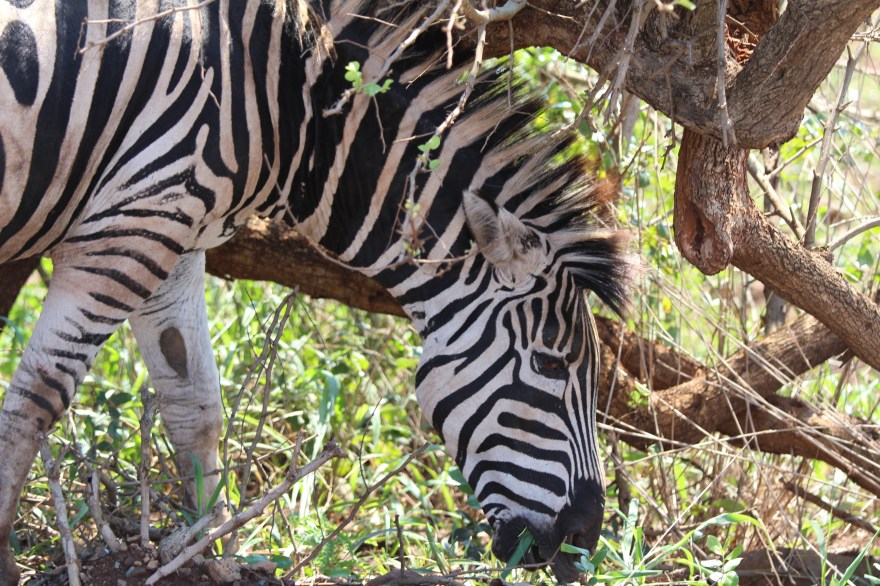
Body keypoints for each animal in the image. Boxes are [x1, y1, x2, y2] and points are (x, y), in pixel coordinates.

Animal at [0, 0, 631, 582]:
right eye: (550, 365)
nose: (584, 538)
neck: (286, 113)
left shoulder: (172, 236)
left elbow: (194, 405)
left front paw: (211, 555)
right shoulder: (123, 232)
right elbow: (34, 401)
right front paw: (5, 560)